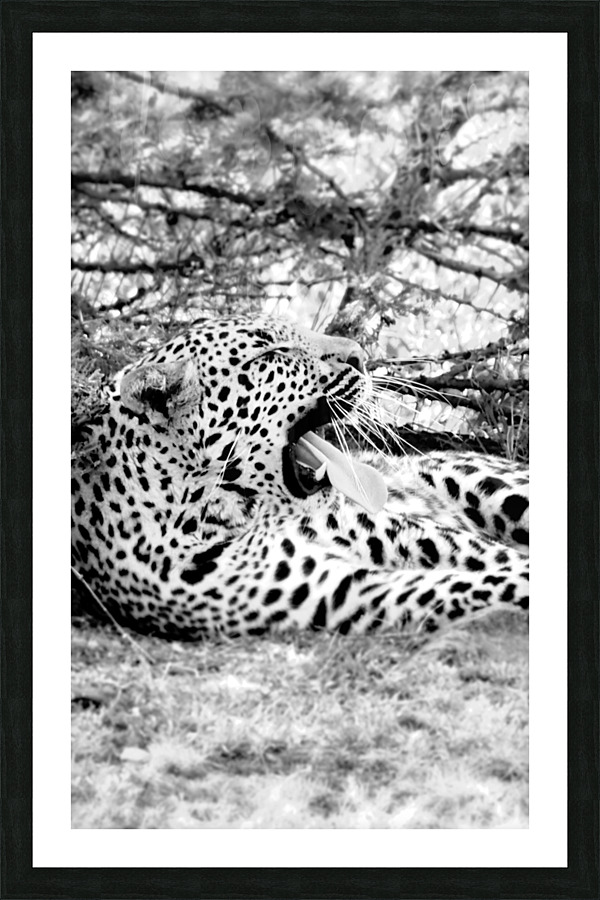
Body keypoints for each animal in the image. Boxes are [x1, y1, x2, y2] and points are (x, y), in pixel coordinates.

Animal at [71, 315, 529, 640]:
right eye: (271, 353)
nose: (361, 355)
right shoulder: (340, 590)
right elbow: (476, 586)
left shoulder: (408, 534)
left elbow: (500, 562)